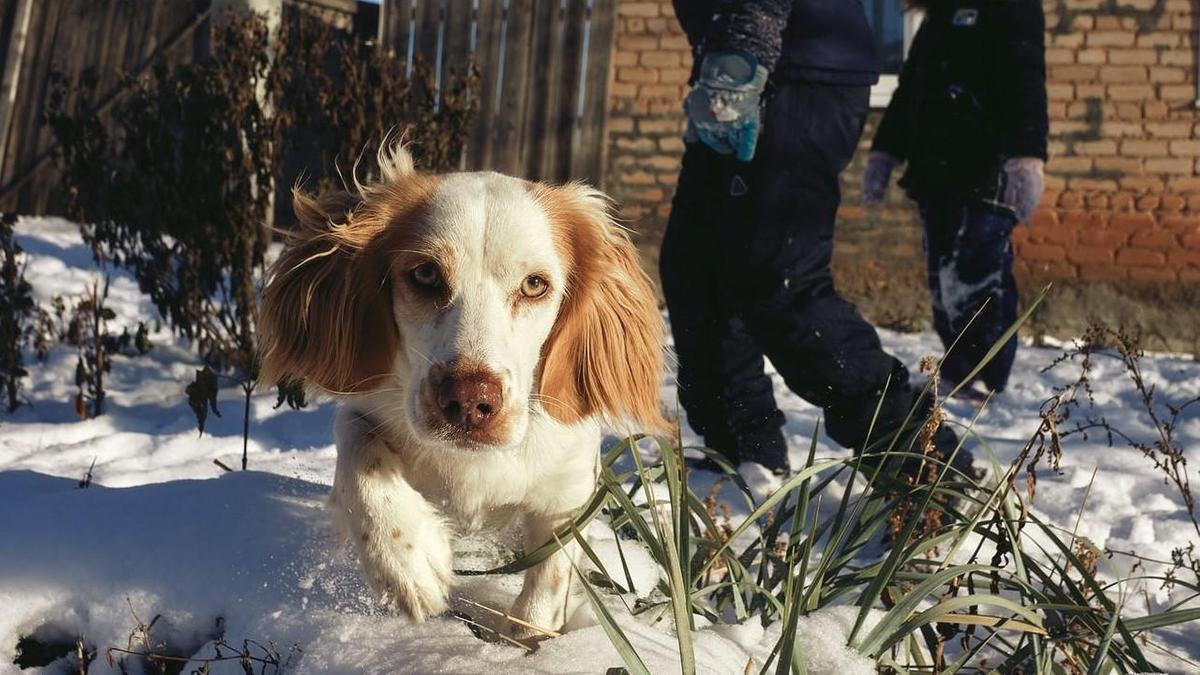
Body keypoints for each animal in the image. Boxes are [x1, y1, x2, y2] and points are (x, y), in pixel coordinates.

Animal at [258, 144, 667, 634]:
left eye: (534, 284)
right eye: (425, 274)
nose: (469, 401)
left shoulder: (566, 492)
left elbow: (547, 587)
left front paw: (530, 637)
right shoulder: (366, 409)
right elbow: (362, 458)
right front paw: (407, 560)